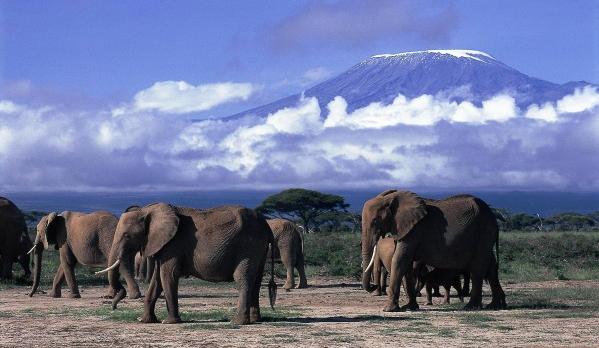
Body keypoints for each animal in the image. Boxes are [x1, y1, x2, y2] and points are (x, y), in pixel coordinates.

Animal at [99, 203, 278, 324]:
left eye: (127, 236)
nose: (114, 307)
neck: (147, 210)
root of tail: (266, 225)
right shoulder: (162, 245)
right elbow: (157, 280)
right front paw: (144, 320)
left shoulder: (173, 244)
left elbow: (168, 275)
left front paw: (169, 322)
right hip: (258, 249)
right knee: (256, 280)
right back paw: (255, 320)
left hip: (248, 246)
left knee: (243, 278)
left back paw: (237, 322)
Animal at [360, 190, 506, 312]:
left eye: (375, 221)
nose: (373, 286)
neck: (391, 198)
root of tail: (494, 217)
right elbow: (407, 265)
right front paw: (410, 307)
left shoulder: (414, 230)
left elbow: (400, 260)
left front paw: (388, 310)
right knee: (491, 266)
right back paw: (496, 305)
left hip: (483, 232)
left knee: (478, 267)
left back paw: (471, 307)